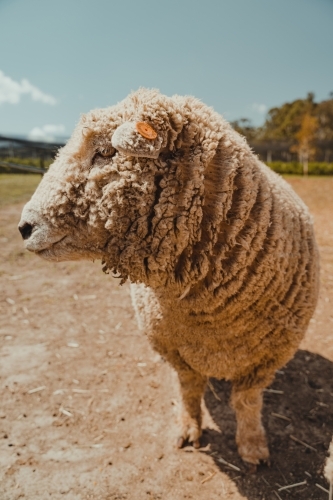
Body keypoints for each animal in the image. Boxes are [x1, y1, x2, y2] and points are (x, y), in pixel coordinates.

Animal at [18, 88, 320, 466]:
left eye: (105, 152)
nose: (24, 227)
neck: (208, 314)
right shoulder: (173, 350)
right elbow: (189, 390)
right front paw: (188, 430)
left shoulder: (267, 360)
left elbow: (246, 401)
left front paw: (252, 446)